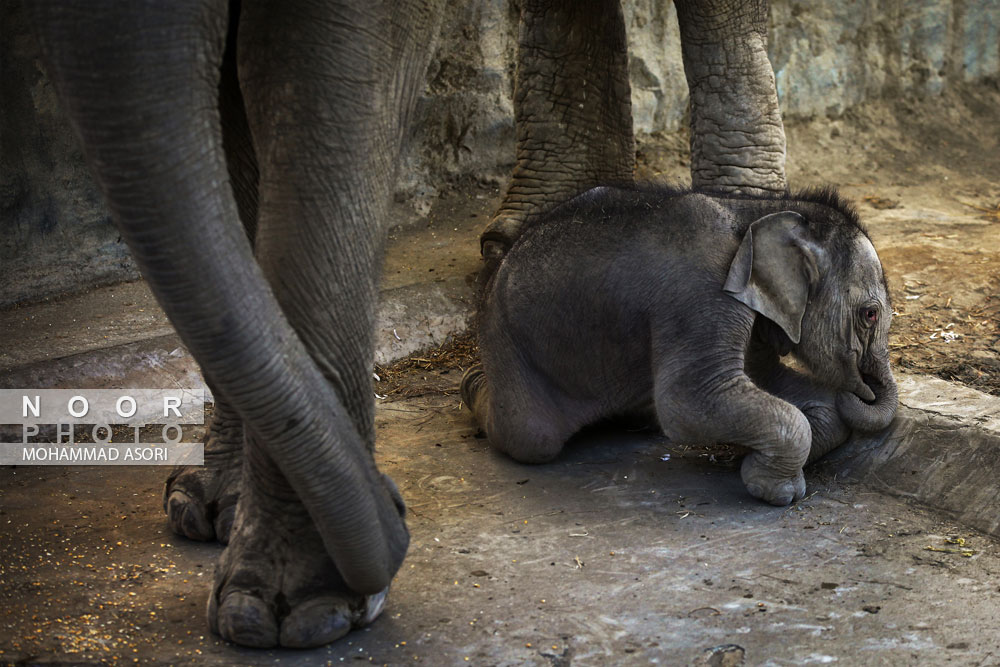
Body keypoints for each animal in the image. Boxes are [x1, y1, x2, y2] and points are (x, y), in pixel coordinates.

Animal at [460, 184, 900, 506]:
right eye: (870, 315)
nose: (862, 389)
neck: (751, 212)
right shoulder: (702, 292)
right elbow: (688, 400)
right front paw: (777, 490)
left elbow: (764, 379)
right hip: (507, 339)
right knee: (530, 435)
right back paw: (472, 383)